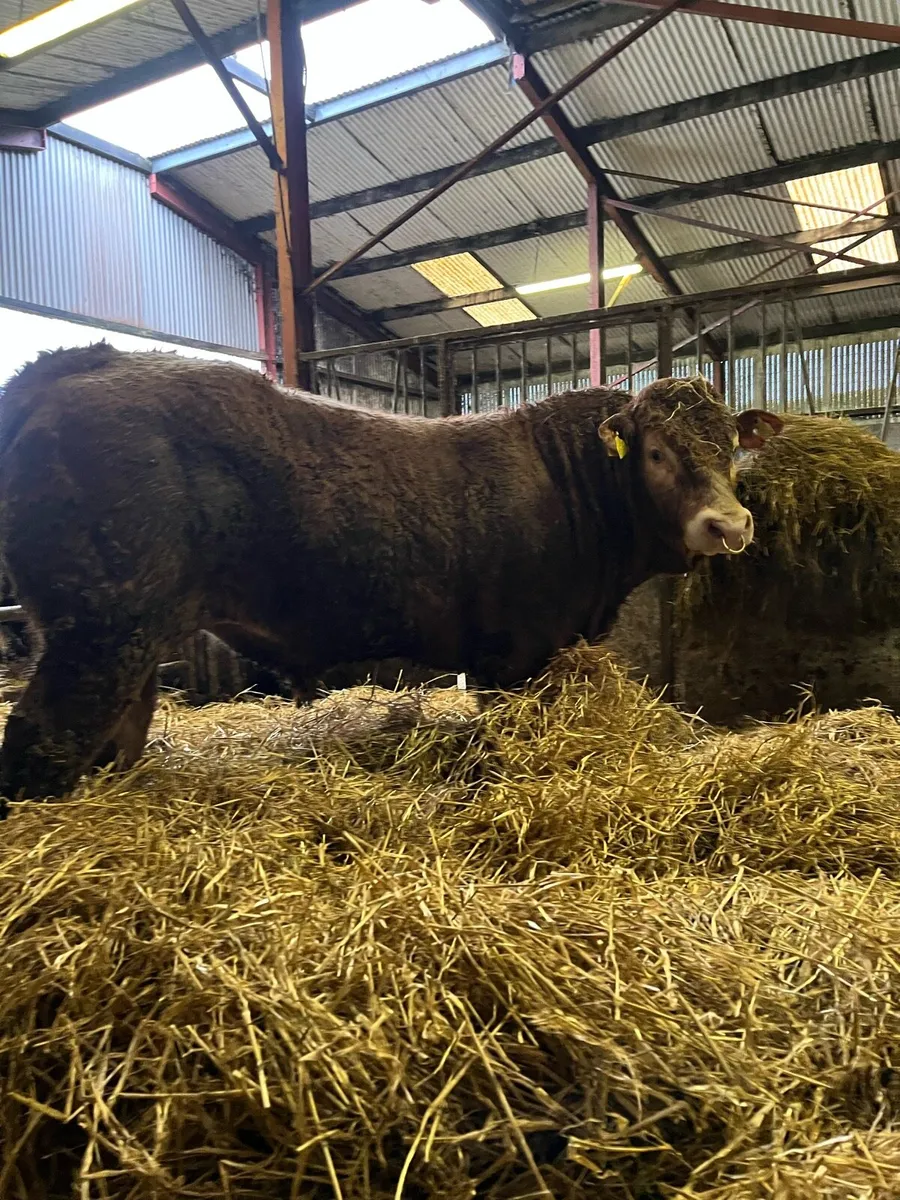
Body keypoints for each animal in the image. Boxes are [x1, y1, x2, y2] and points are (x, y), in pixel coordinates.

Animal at [0, 344, 781, 809]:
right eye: (656, 452)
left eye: (729, 448)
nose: (730, 525)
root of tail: (85, 365)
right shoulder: (510, 654)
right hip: (99, 632)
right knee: (40, 741)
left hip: (128, 639)